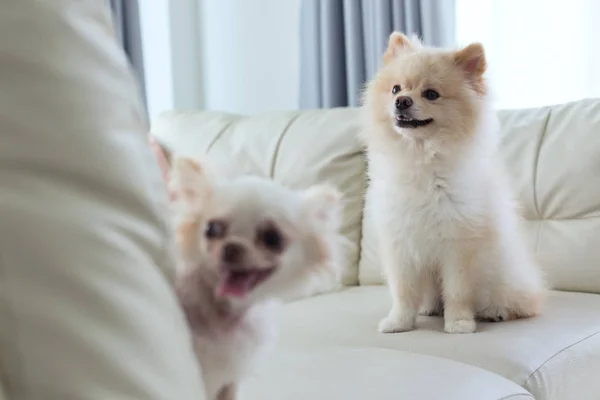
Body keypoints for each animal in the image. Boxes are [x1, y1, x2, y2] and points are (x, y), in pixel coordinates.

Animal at [358, 32, 548, 334]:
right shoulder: (400, 244)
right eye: (396, 89)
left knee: (518, 303)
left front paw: (459, 323)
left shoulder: (459, 245)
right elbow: (403, 291)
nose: (402, 101)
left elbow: (458, 291)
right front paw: (399, 322)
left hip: (505, 278)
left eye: (431, 94)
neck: (422, 160)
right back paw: (430, 308)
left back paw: (495, 312)